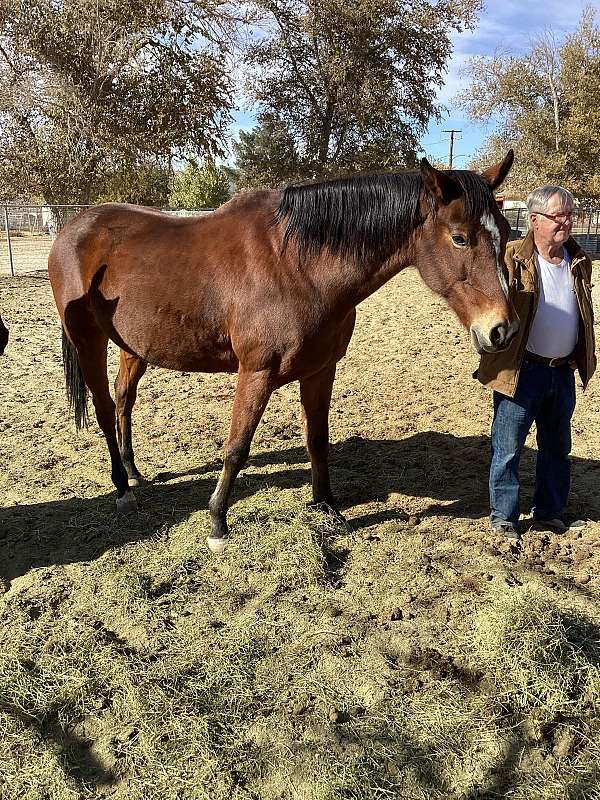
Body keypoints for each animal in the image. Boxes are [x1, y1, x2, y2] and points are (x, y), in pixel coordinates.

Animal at [48, 150, 516, 552]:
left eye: (507, 233)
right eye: (459, 238)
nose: (501, 330)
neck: (297, 265)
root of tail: (74, 227)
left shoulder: (320, 370)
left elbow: (317, 439)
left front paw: (326, 506)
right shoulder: (256, 373)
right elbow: (237, 446)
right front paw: (217, 522)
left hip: (135, 346)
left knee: (124, 400)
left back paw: (133, 473)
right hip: (88, 341)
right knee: (105, 408)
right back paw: (122, 489)